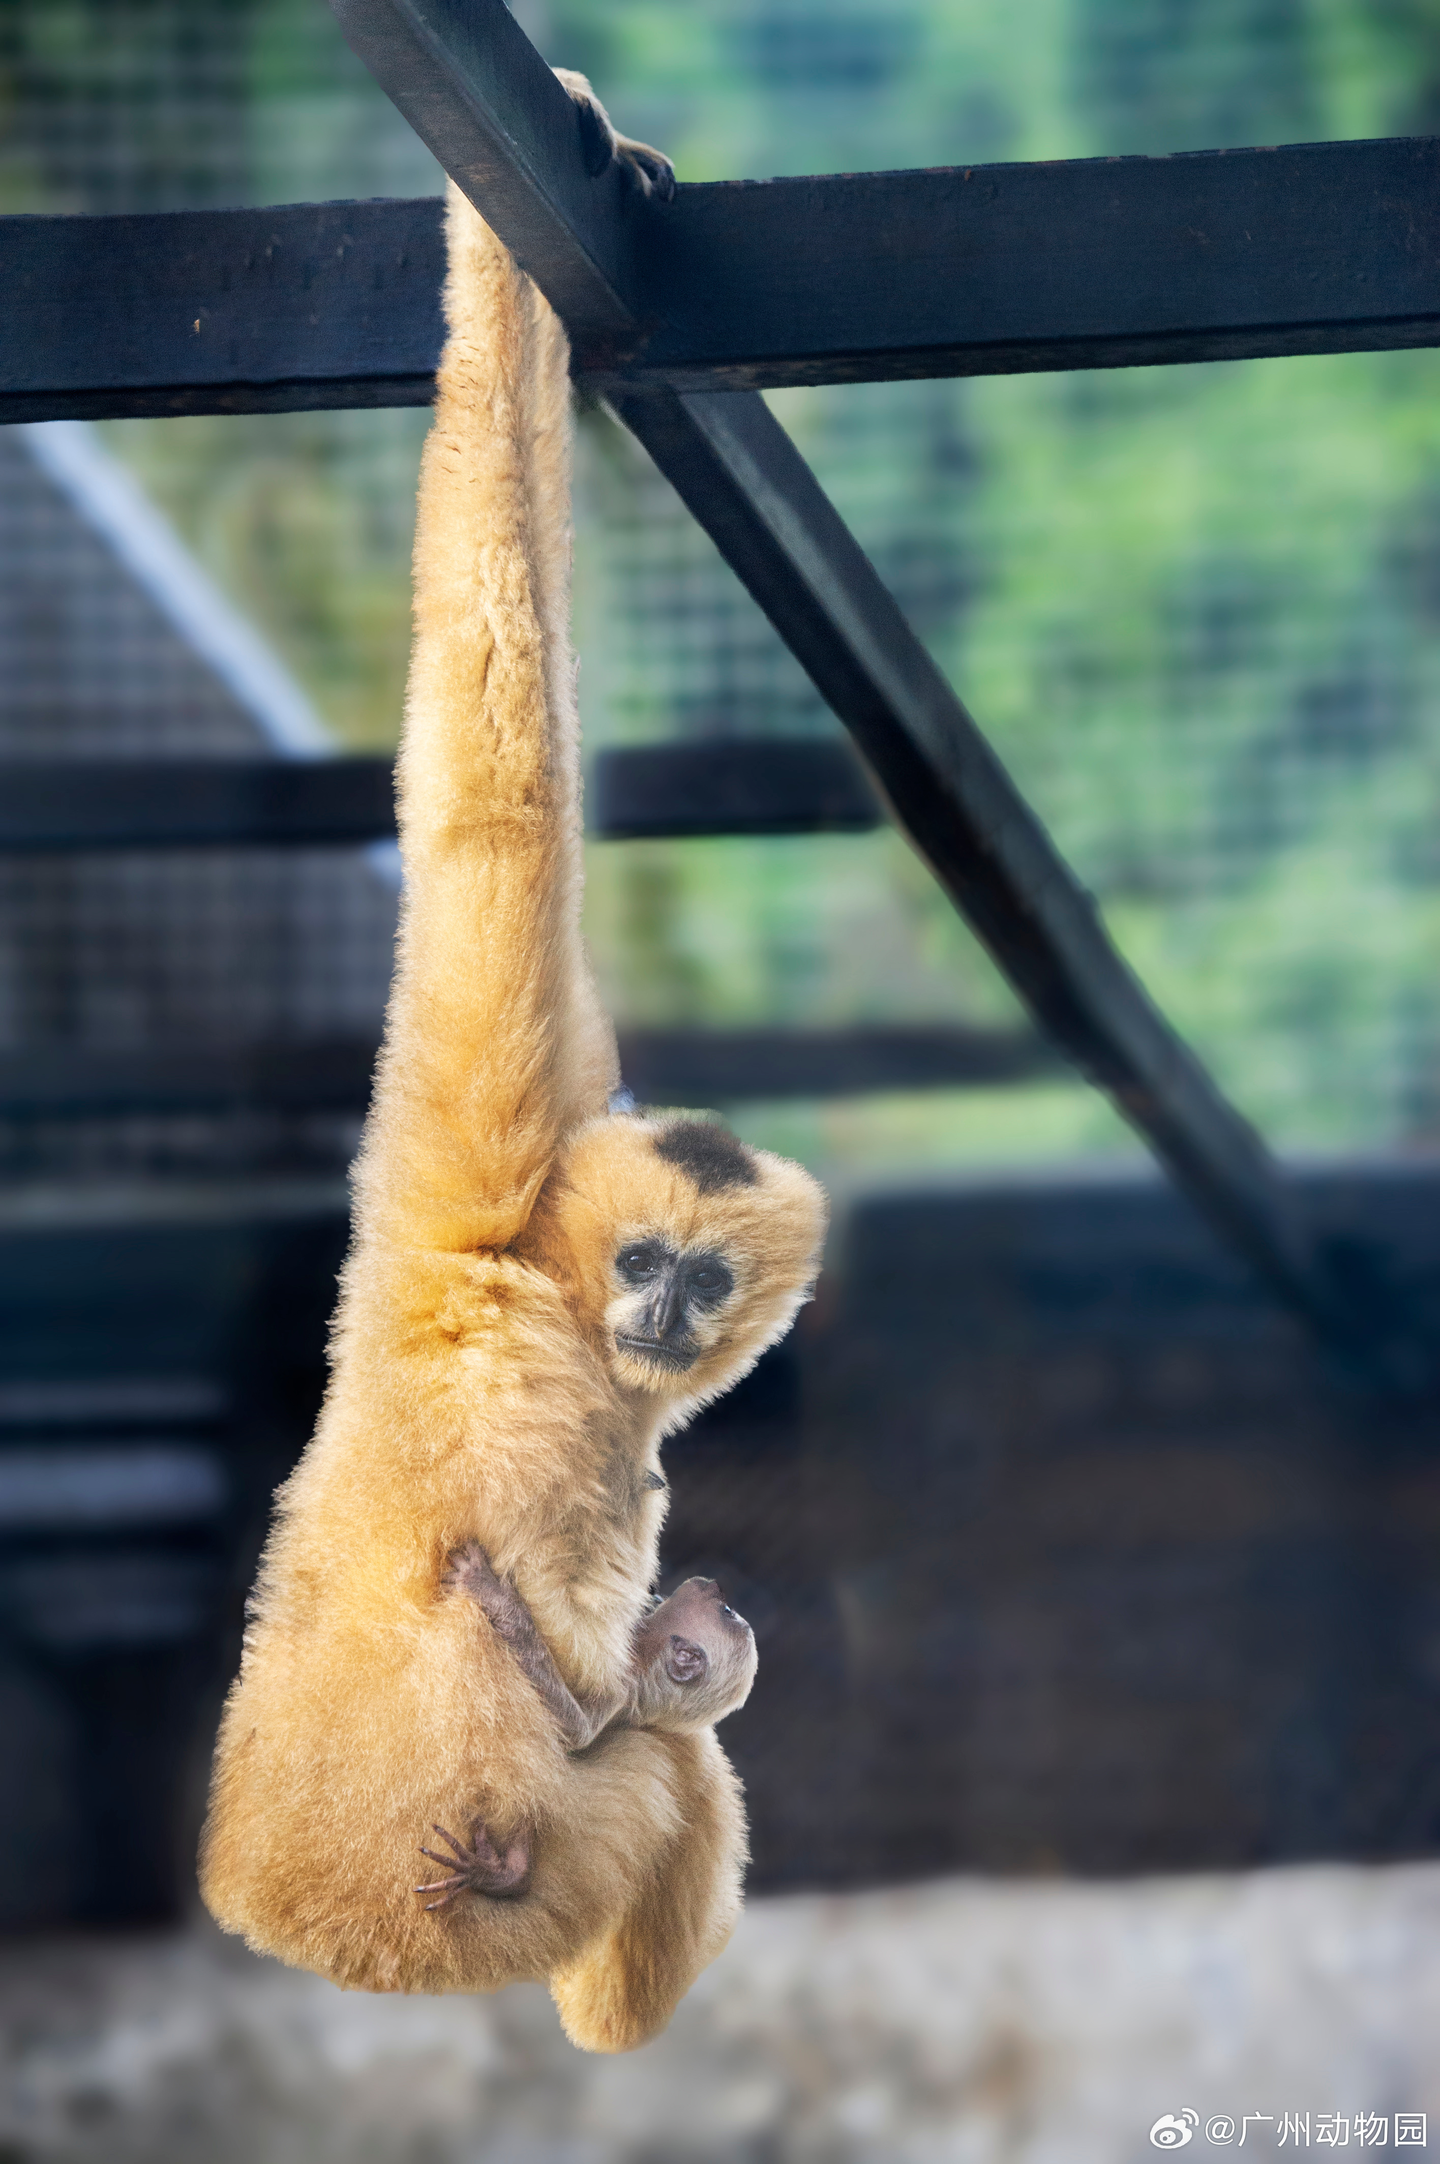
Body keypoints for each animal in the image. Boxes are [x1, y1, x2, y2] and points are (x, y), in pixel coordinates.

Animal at [199, 74, 827, 2057]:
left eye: (702, 1278)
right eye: (640, 1260)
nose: (662, 1317)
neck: (546, 1299)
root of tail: (268, 1899)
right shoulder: (475, 1170)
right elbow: (499, 796)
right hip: (479, 1883)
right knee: (666, 1767)